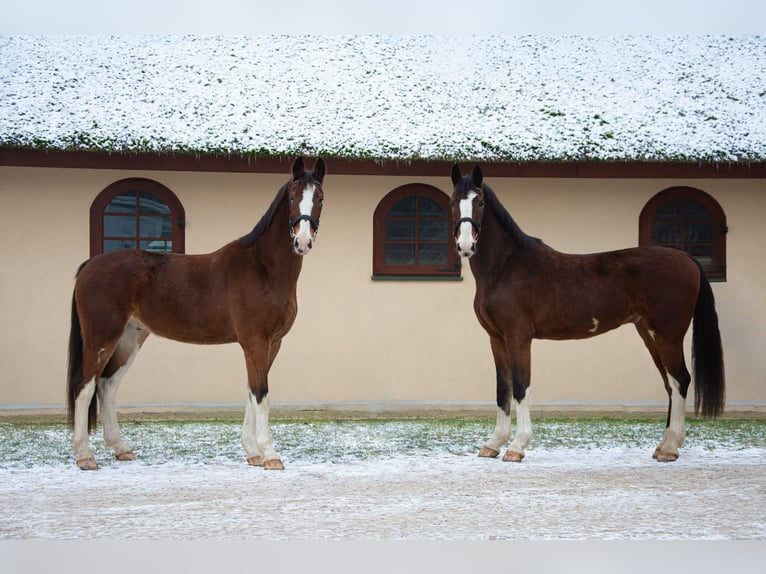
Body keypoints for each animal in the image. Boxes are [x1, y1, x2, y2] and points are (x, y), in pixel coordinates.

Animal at [67, 159, 328, 472]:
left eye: (320, 198)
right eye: (292, 196)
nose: (303, 241)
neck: (262, 268)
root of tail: (89, 265)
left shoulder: (271, 343)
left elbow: (251, 391)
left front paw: (252, 452)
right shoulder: (256, 341)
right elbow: (261, 393)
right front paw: (270, 455)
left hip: (129, 339)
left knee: (107, 386)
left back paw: (121, 448)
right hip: (101, 337)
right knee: (84, 386)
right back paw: (85, 456)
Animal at [452, 165, 728, 464]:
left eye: (480, 202)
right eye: (454, 201)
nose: (465, 246)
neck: (505, 267)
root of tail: (688, 259)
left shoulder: (518, 337)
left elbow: (521, 387)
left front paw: (517, 447)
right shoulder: (496, 338)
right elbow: (502, 389)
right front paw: (493, 444)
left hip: (668, 334)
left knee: (680, 381)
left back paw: (670, 448)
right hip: (649, 334)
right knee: (670, 383)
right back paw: (662, 446)